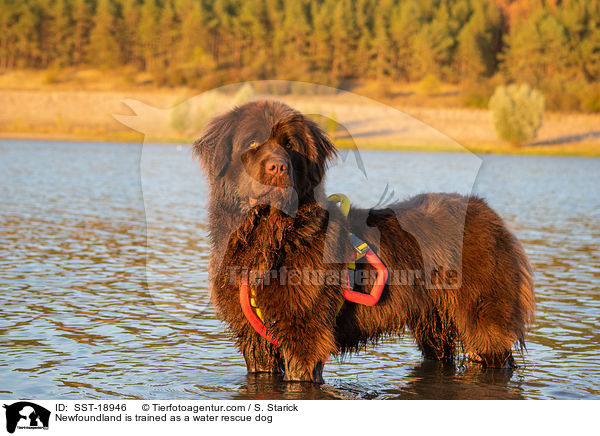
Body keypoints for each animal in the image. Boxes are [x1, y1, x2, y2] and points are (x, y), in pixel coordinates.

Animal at [193, 99, 536, 382]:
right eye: (252, 142)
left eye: (289, 145)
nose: (278, 167)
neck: (271, 237)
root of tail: (487, 212)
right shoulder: (254, 337)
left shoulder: (304, 333)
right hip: (434, 323)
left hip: (484, 316)